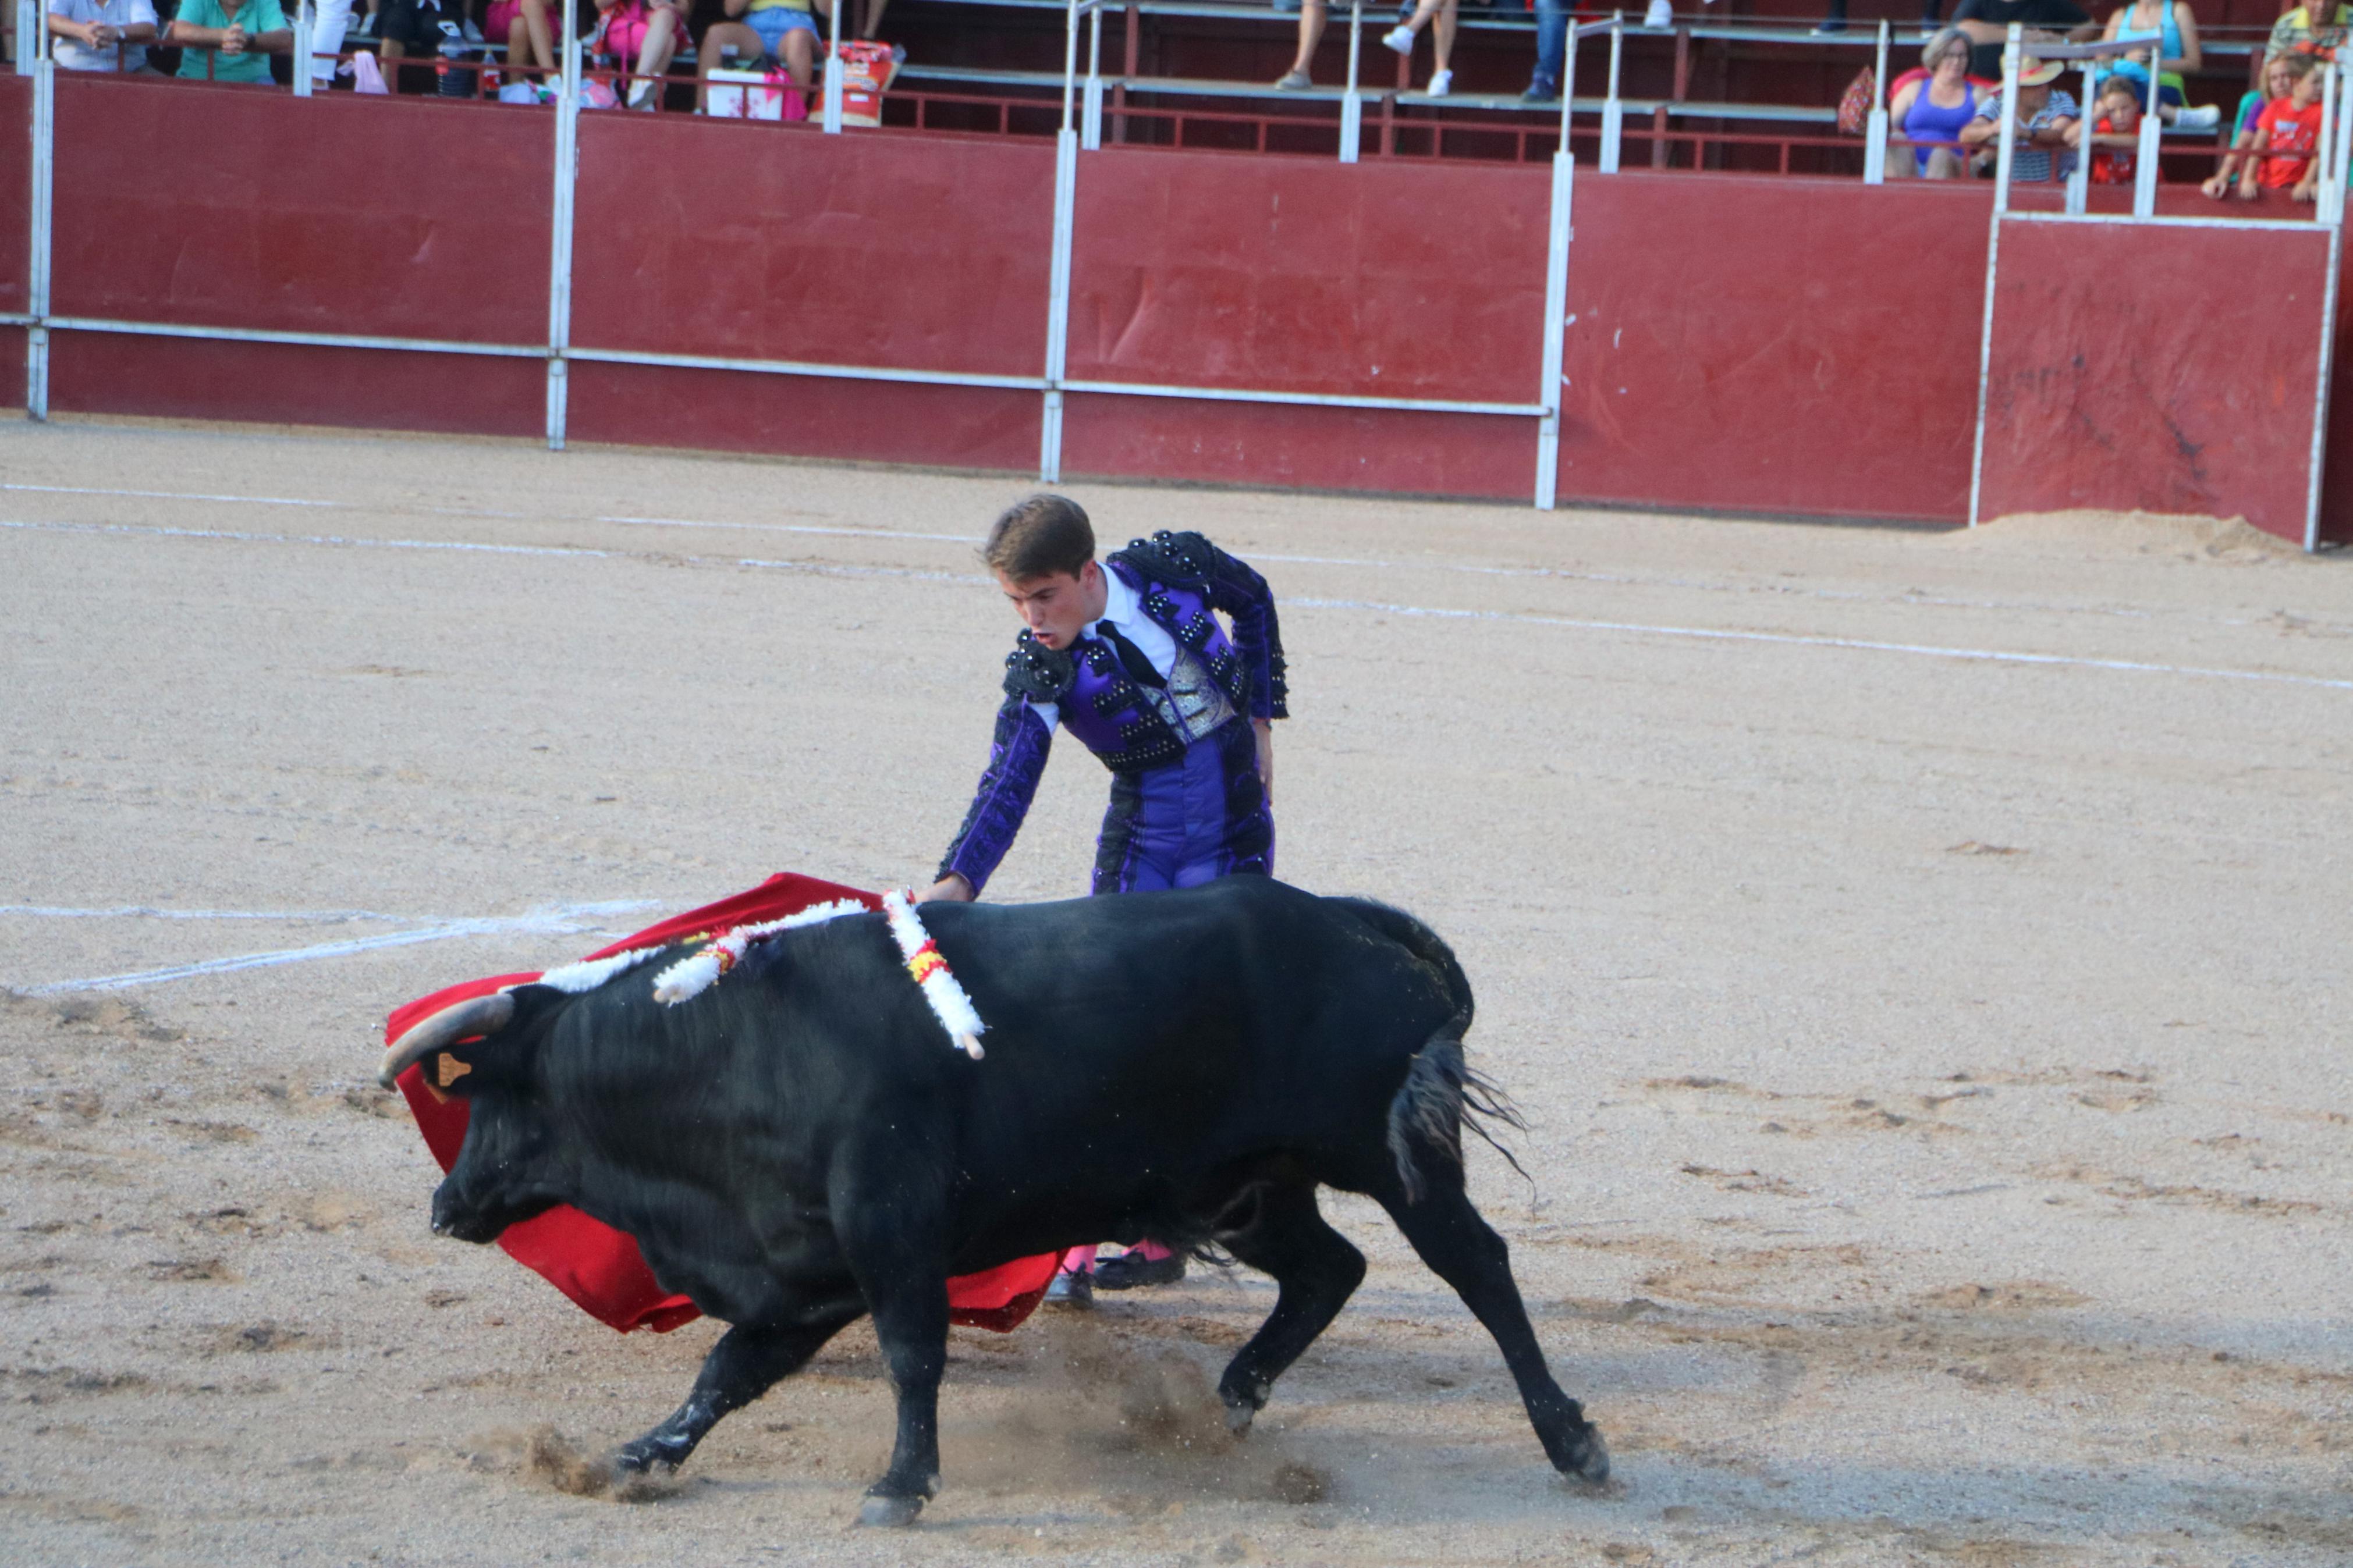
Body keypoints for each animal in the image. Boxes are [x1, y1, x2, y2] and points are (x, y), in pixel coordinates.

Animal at [395, 869, 1609, 1523]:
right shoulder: (806, 1269)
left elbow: (911, 1357)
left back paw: (1572, 1445)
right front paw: (638, 1458)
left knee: (1476, 1268)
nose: (446, 1208)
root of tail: (1347, 925)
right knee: (1328, 1269)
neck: (729, 1055)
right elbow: (726, 1373)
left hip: (1390, 1159)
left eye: (489, 1098)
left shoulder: (889, 1232)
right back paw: (1227, 1401)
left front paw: (900, 1487)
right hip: (1249, 1189)